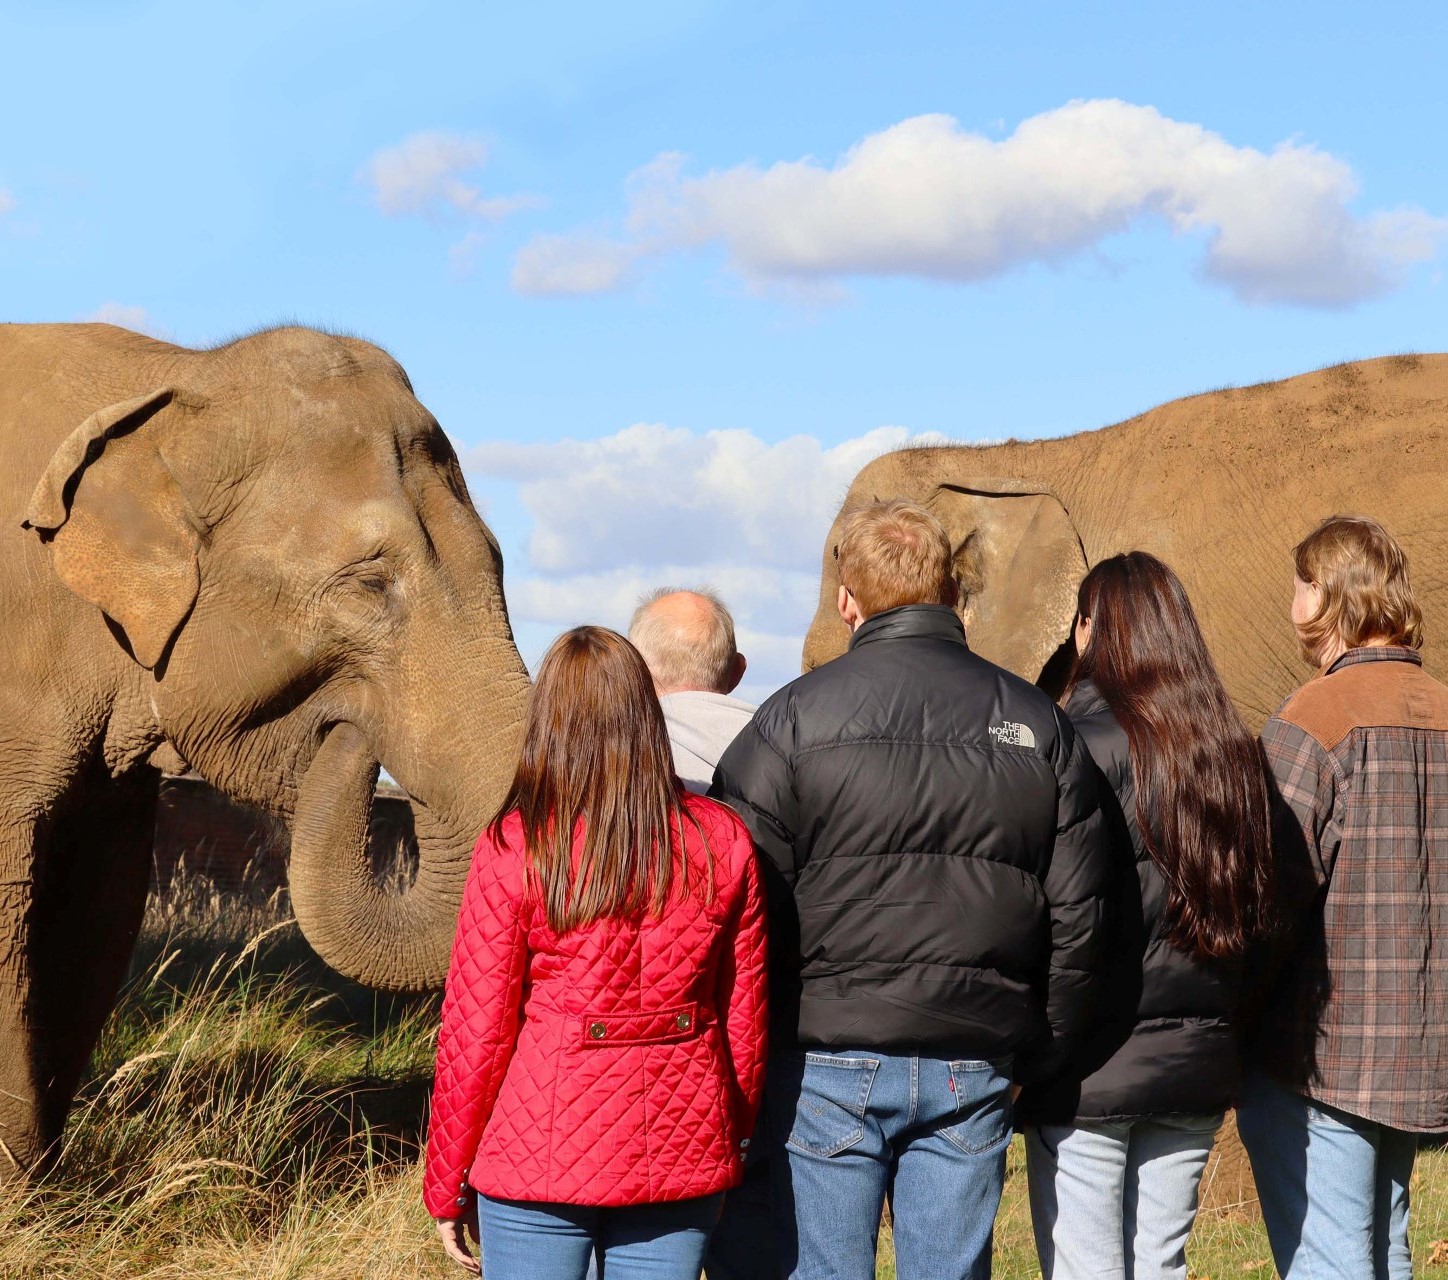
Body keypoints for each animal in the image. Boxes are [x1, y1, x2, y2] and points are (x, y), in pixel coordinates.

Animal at [0, 322, 532, 1181]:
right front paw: (24, 1189)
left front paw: (43, 1183)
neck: (175, 378)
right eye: (370, 583)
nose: (348, 731)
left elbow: (97, 904)